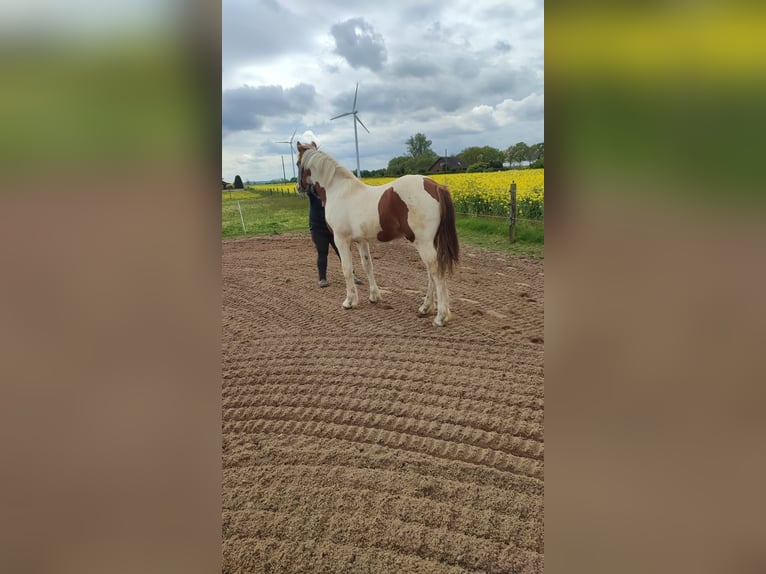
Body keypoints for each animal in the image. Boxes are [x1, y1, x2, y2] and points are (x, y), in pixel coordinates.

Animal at [296, 141, 460, 326]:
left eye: (298, 163)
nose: (298, 187)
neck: (338, 190)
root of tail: (434, 185)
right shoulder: (361, 241)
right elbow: (368, 266)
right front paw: (374, 297)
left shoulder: (341, 239)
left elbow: (347, 268)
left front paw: (349, 302)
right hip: (430, 242)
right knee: (430, 273)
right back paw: (426, 308)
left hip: (423, 243)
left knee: (435, 272)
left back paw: (440, 317)